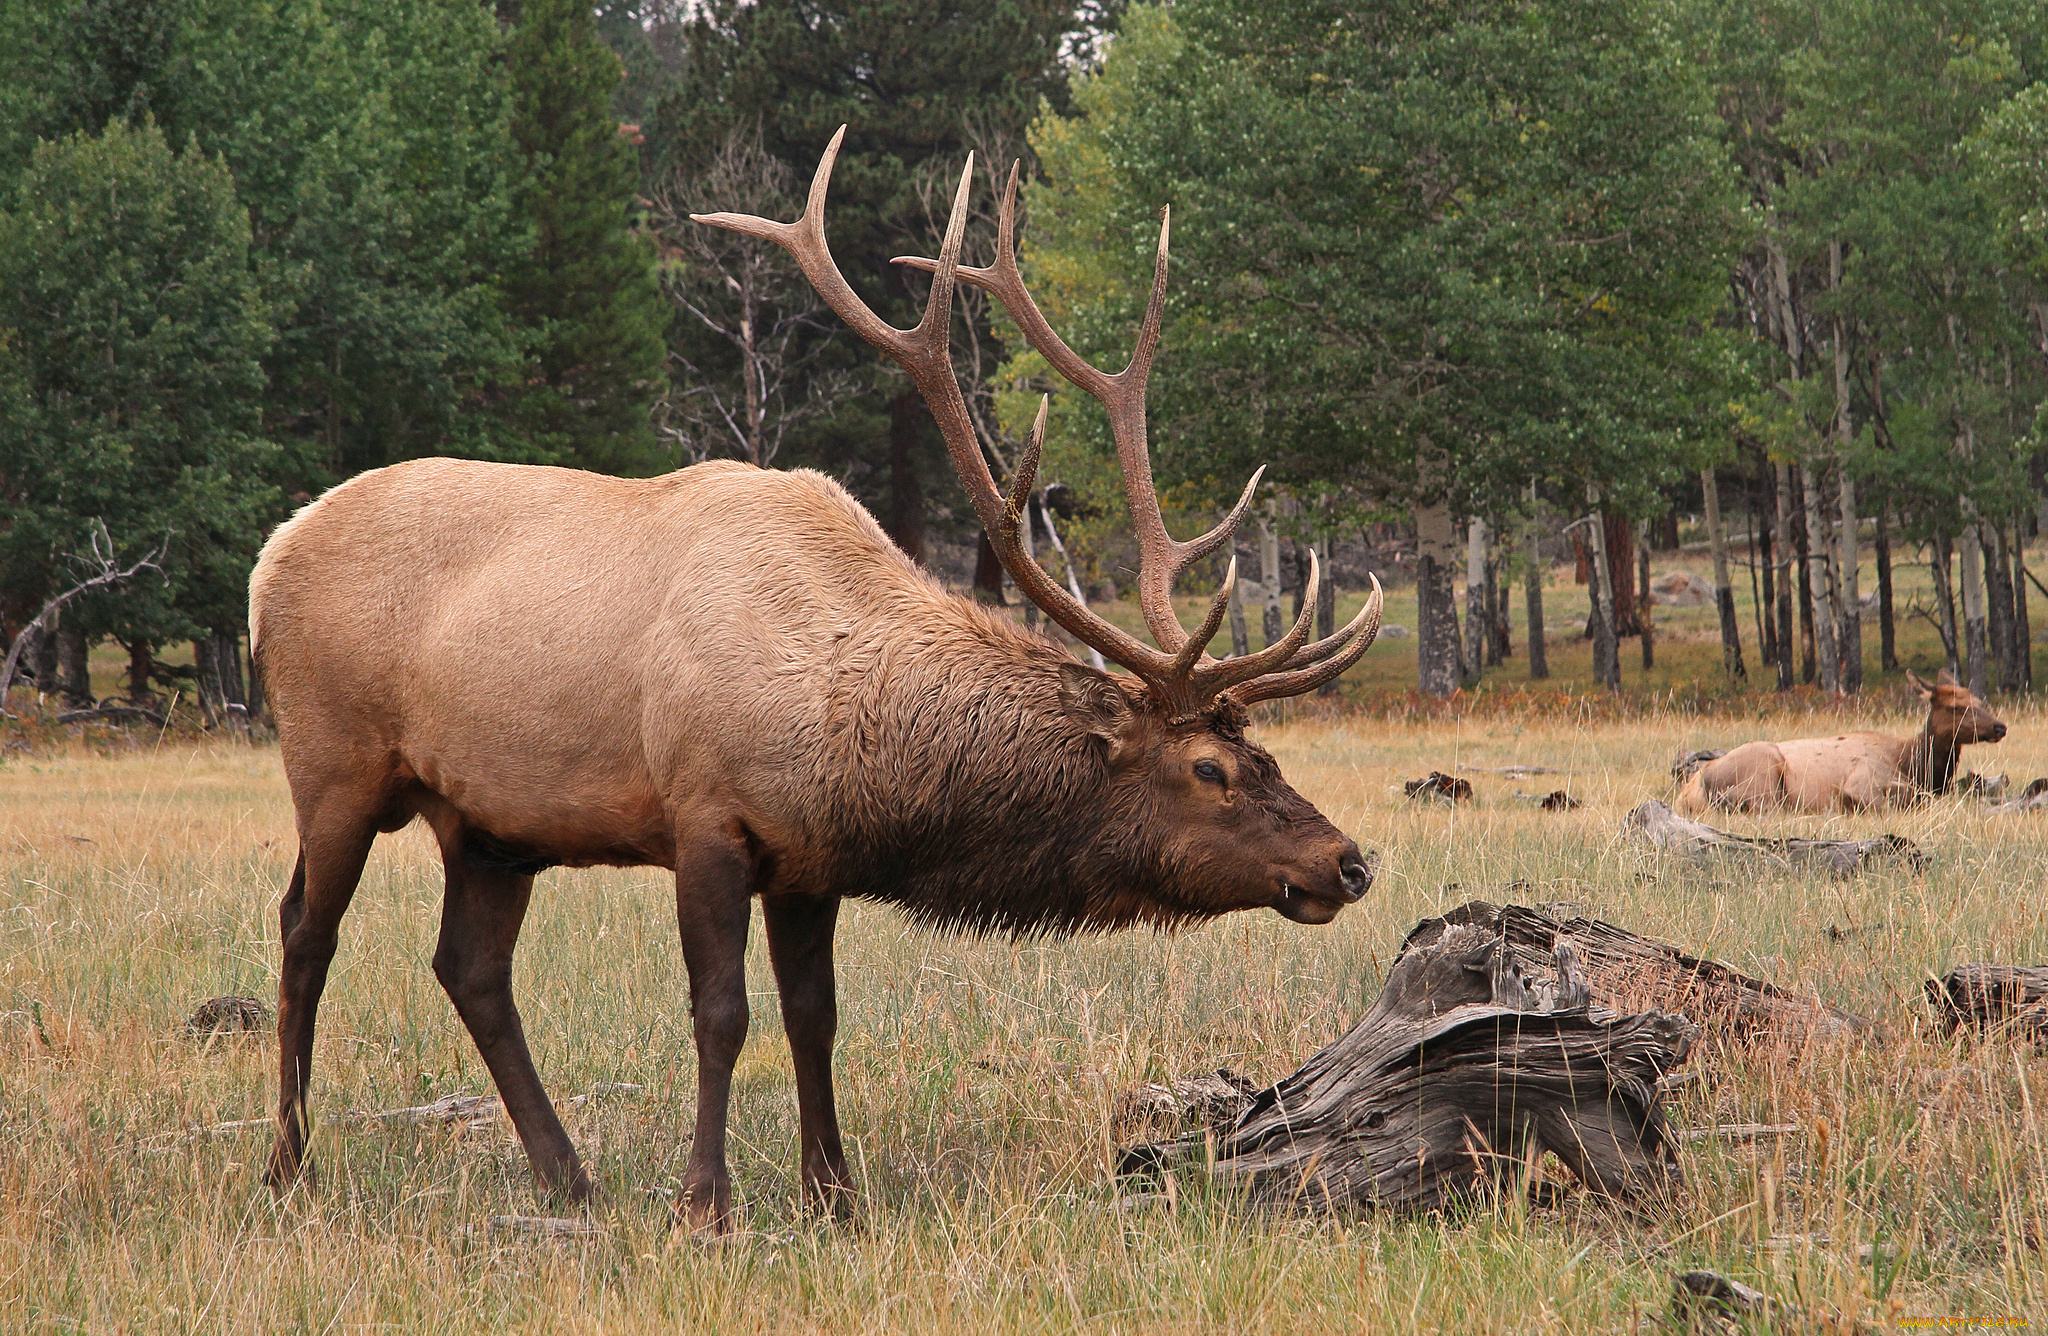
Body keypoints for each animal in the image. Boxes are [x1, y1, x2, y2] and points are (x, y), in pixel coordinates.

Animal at [247, 130, 1384, 1229]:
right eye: (1208, 770)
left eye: (1263, 756)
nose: (1347, 861)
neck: (849, 728)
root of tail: (270, 557)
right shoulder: (705, 815)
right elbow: (722, 1012)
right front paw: (705, 1202)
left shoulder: (810, 859)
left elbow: (814, 1017)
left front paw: (833, 1192)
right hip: (333, 759)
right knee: (305, 932)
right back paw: (289, 1168)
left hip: (490, 821)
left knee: (470, 968)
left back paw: (567, 1177)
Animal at [1679, 667, 1998, 815]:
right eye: (1956, 707)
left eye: (1980, 701)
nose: (2000, 726)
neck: (1913, 764)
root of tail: (1691, 788)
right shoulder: (1861, 781)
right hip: (1762, 772)